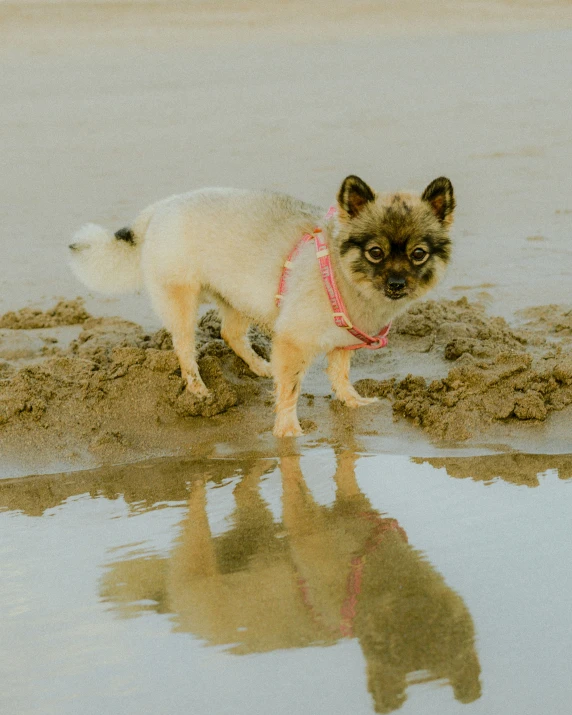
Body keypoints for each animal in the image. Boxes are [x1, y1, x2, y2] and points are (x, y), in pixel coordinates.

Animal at [70, 176, 456, 440]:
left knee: (230, 333)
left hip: (238, 297)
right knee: (184, 348)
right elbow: (289, 391)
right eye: (375, 252)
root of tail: (160, 208)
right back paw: (198, 391)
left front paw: (351, 402)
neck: (338, 269)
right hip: (182, 303)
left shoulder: (342, 342)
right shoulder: (293, 342)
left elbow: (340, 375)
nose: (397, 284)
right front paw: (287, 430)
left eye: (418, 254)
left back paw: (260, 366)